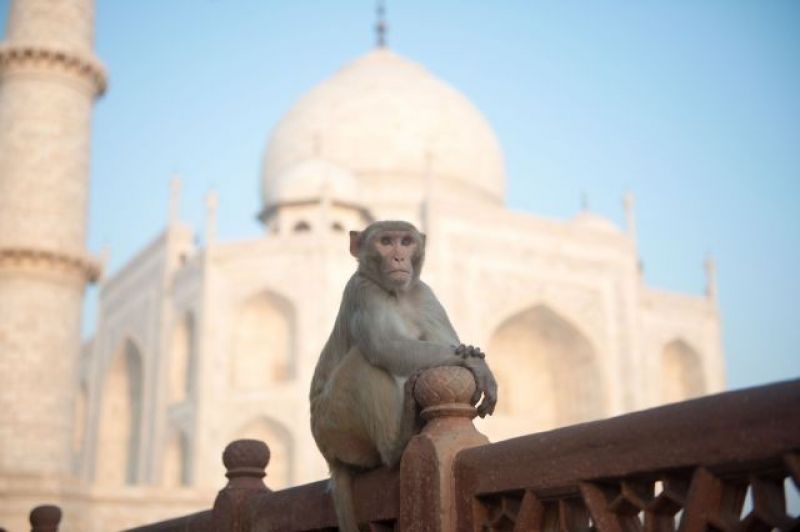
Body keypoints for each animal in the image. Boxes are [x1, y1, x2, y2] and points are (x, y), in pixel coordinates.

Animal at [309, 220, 497, 532]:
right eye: (386, 242)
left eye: (406, 242)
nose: (398, 258)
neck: (396, 294)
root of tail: (330, 457)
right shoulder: (361, 290)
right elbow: (385, 347)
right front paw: (477, 365)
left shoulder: (423, 293)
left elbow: (447, 340)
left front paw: (472, 357)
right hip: (334, 425)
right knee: (365, 361)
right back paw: (397, 447)